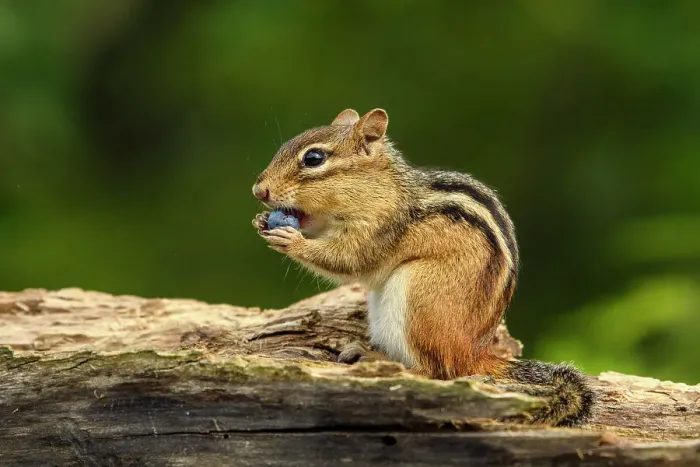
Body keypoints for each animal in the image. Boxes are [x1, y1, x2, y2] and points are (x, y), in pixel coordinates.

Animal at [251, 108, 595, 427]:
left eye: (313, 158)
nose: (259, 191)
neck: (379, 189)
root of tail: (474, 353)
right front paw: (261, 221)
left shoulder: (379, 228)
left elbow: (349, 259)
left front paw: (292, 241)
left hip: (417, 293)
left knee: (437, 372)